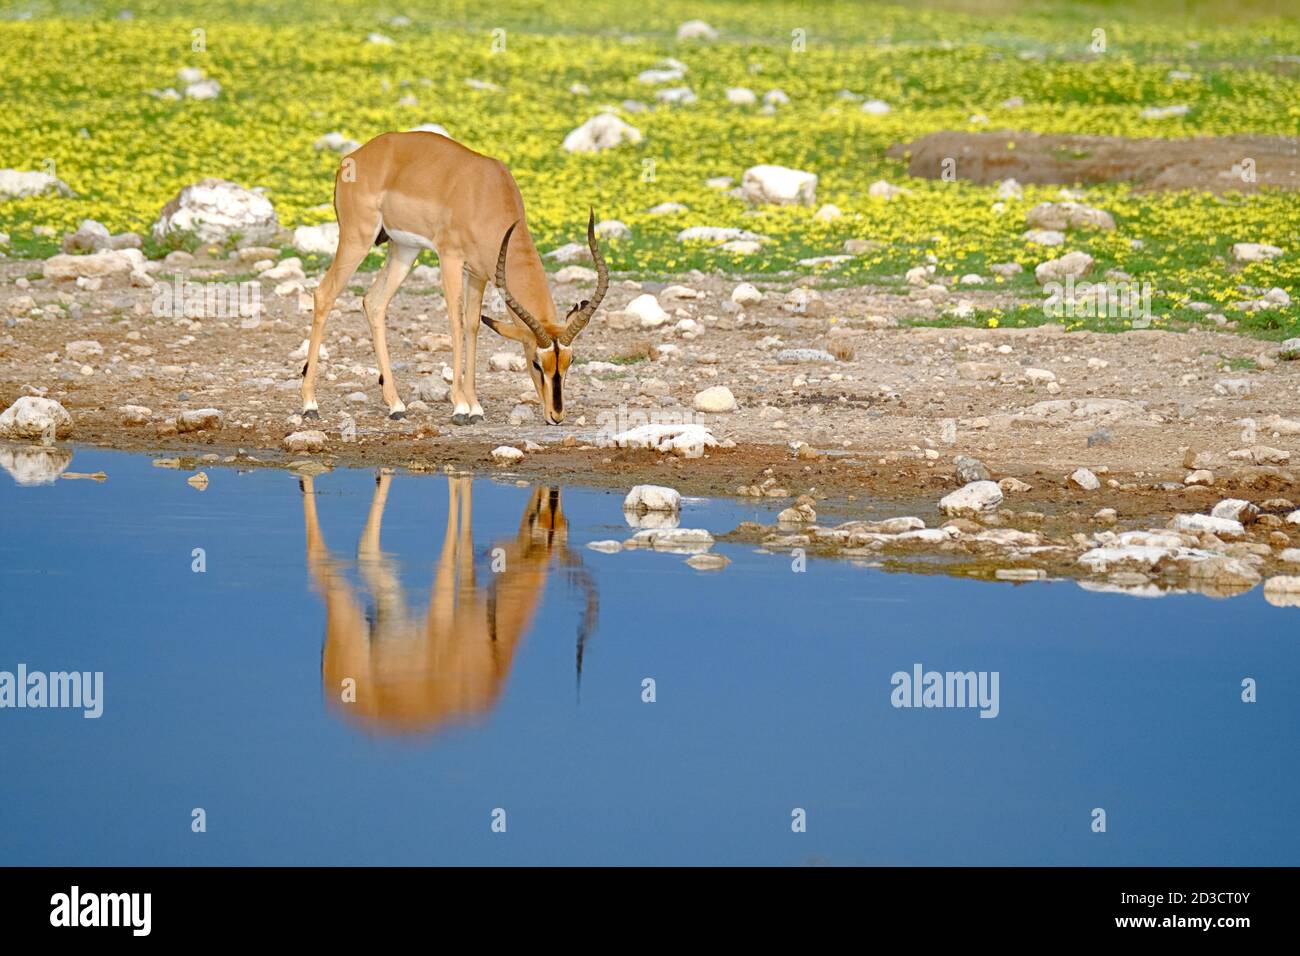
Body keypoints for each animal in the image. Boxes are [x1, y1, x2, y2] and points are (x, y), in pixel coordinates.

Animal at [300, 471, 597, 736]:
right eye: (540, 513)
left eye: (564, 522)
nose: (550, 489)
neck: (493, 652)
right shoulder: (439, 618)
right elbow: (451, 551)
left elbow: (464, 542)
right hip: (347, 615)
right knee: (318, 562)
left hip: (386, 606)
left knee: (366, 549)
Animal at [301, 130, 610, 426]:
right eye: (536, 362)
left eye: (570, 361)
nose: (556, 416)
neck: (483, 193)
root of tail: (353, 158)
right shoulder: (450, 259)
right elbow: (456, 322)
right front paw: (460, 407)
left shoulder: (479, 273)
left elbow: (472, 326)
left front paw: (475, 408)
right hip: (357, 238)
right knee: (324, 294)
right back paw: (310, 405)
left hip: (404, 249)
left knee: (374, 302)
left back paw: (396, 406)